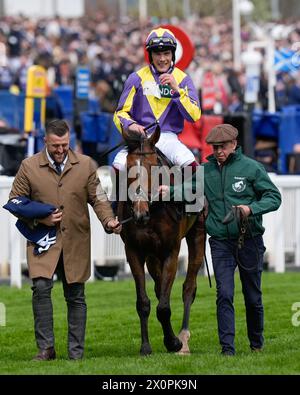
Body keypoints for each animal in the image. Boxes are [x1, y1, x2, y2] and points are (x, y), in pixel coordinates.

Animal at [117, 126, 206, 356]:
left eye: (153, 167)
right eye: (128, 168)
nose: (139, 213)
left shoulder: (170, 252)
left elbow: (164, 307)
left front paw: (173, 343)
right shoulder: (134, 251)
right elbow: (144, 302)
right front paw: (146, 346)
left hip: (198, 235)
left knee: (189, 287)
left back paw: (183, 338)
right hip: (151, 255)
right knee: (159, 289)